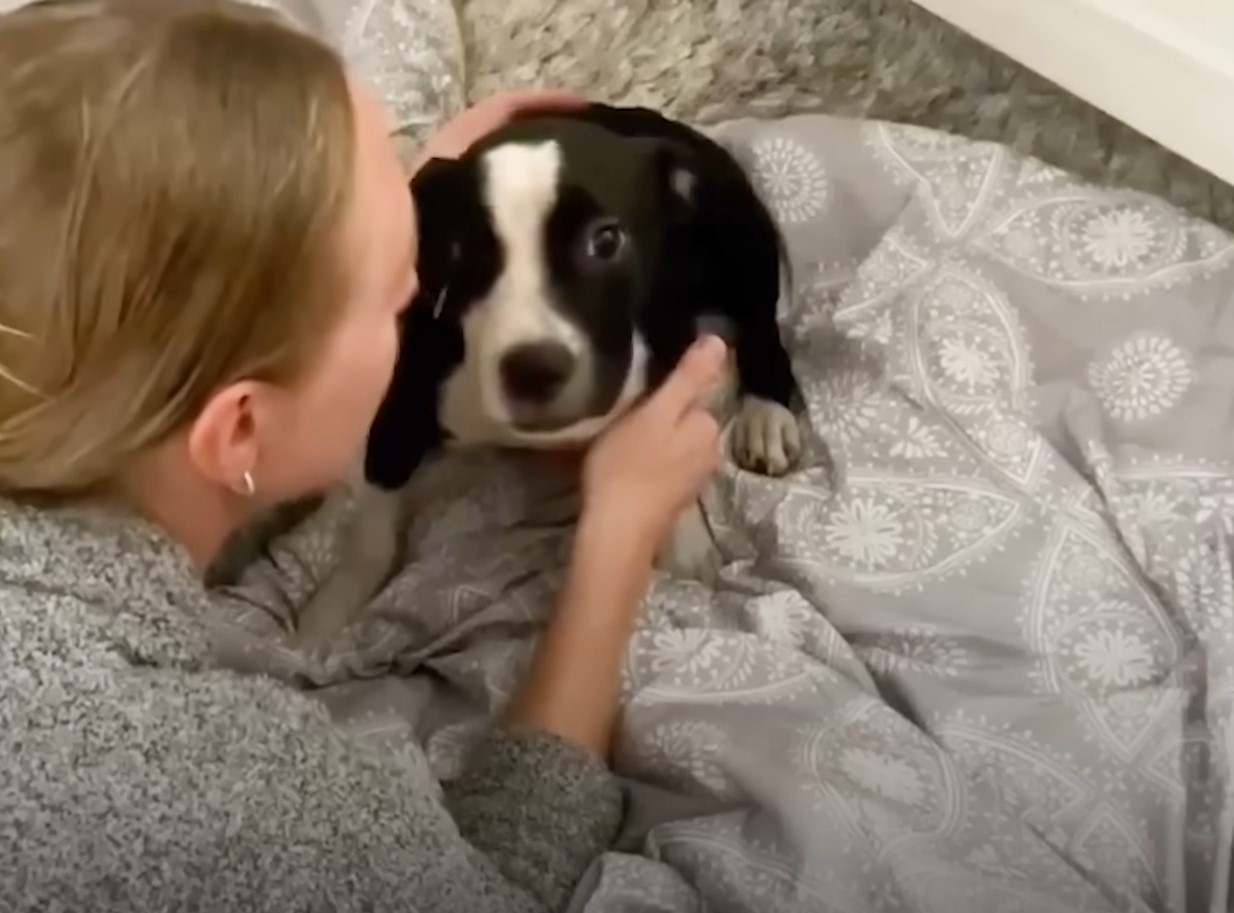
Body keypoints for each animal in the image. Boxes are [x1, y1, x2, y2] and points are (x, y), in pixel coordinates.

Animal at [294, 105, 804, 651]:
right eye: (465, 250)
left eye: (607, 239)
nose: (533, 369)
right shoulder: (403, 395)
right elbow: (374, 518)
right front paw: (337, 601)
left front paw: (683, 535)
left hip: (739, 238)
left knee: (763, 329)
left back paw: (766, 415)